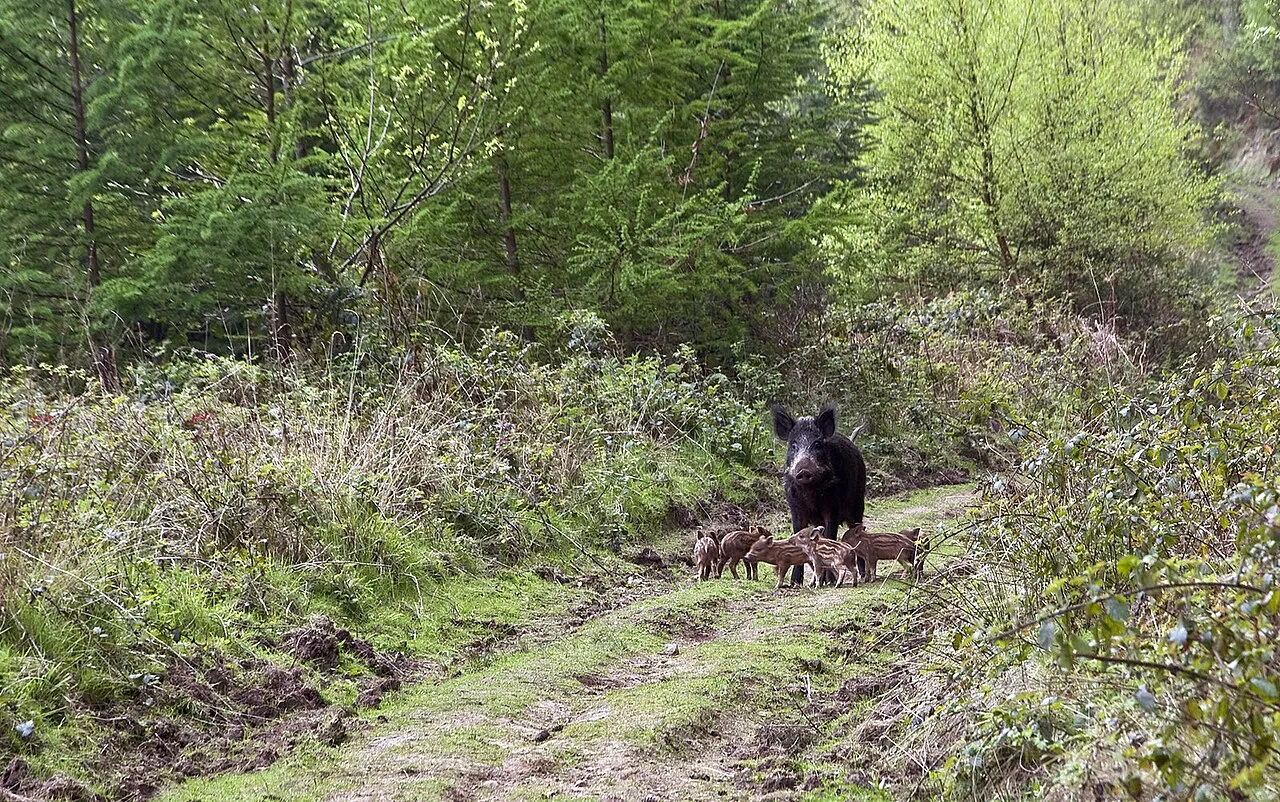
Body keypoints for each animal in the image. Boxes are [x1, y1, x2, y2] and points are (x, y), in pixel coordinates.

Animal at [772, 403, 868, 585]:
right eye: (793, 446)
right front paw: (795, 583)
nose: (803, 470)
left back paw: (863, 577)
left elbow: (831, 536)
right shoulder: (795, 508)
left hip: (858, 504)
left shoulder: (833, 508)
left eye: (817, 444)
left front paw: (829, 581)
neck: (810, 493)